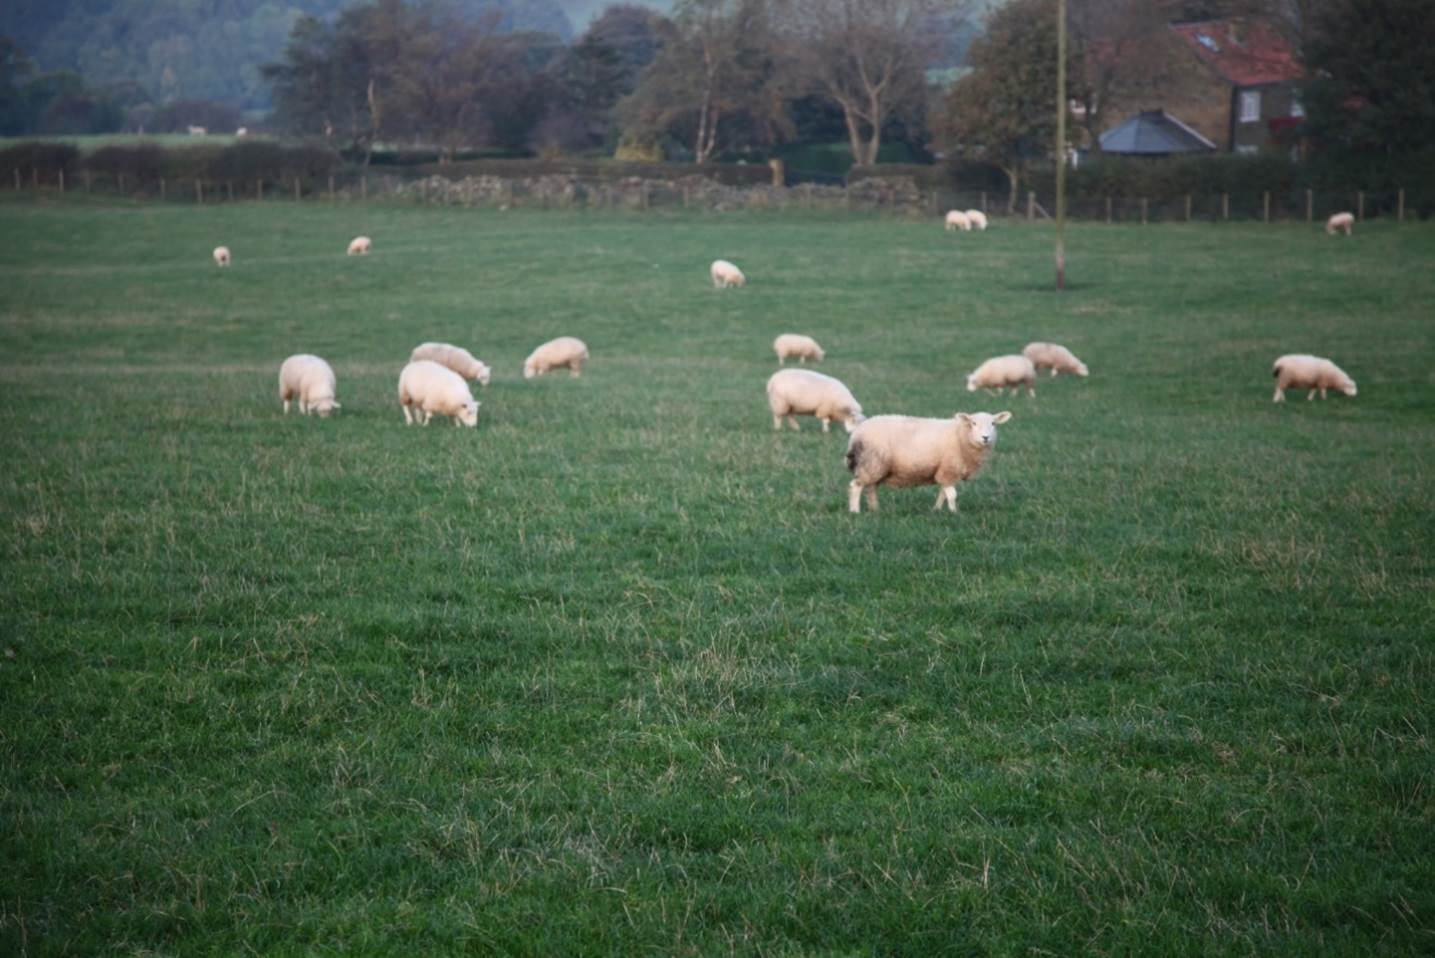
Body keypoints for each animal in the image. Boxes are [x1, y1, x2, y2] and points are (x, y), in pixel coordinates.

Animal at [843, 413, 1015, 516]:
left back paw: (875, 509)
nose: (986, 437)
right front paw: (954, 513)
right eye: (973, 423)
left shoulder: (945, 470)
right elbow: (952, 494)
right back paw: (855, 511)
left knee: (870, 488)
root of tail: (855, 434)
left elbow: (943, 493)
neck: (961, 435)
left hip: (874, 465)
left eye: (993, 423)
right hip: (872, 461)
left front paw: (937, 510)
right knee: (855, 486)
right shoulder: (949, 468)